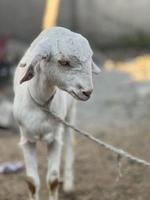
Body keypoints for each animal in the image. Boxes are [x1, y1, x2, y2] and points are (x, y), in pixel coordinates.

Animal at [12, 27, 99, 200]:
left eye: (90, 60)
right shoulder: (26, 140)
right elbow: (32, 182)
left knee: (70, 143)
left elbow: (52, 180)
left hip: (70, 114)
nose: (87, 92)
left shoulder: (54, 139)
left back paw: (69, 186)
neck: (40, 103)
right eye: (63, 62)